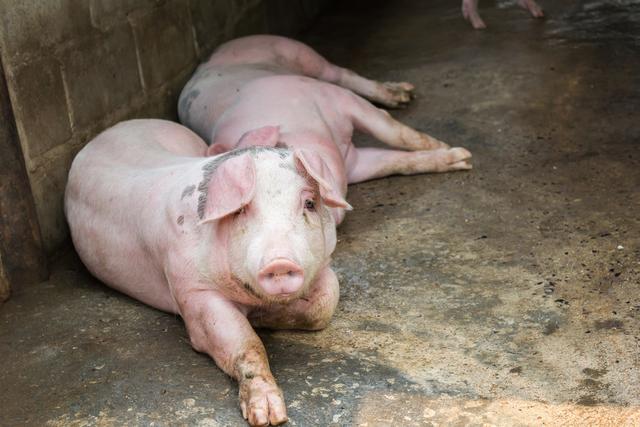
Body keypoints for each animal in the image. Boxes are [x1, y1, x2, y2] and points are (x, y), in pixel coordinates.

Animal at [67, 35, 472, 426]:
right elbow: (244, 344)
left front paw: (459, 157)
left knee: (345, 78)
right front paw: (269, 416)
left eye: (308, 203)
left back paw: (420, 112)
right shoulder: (190, 290)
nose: (279, 262)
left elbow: (325, 302)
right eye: (241, 210)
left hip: (298, 59)